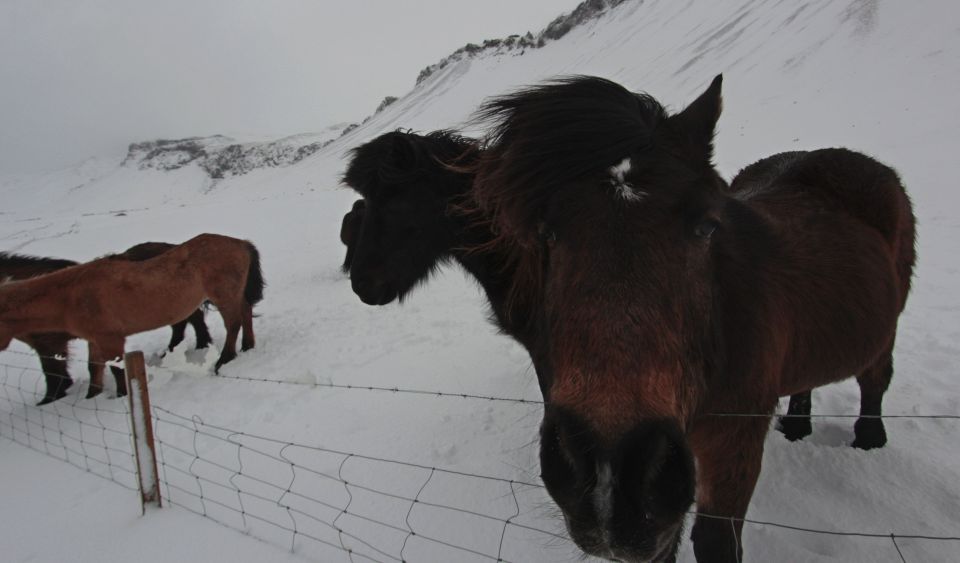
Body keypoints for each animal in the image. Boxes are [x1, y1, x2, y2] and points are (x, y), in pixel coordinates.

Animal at [0, 234, 265, 399]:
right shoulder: (94, 339)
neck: (71, 295)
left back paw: (224, 360)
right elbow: (94, 368)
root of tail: (240, 243)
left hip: (224, 295)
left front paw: (121, 395)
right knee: (244, 313)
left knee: (233, 323)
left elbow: (116, 369)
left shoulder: (109, 339)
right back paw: (247, 346)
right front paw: (92, 396)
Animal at [471, 75, 915, 562]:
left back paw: (869, 441)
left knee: (875, 378)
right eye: (546, 232)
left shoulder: (733, 443)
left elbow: (715, 540)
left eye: (705, 226)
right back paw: (798, 426)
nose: (611, 471)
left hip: (887, 326)